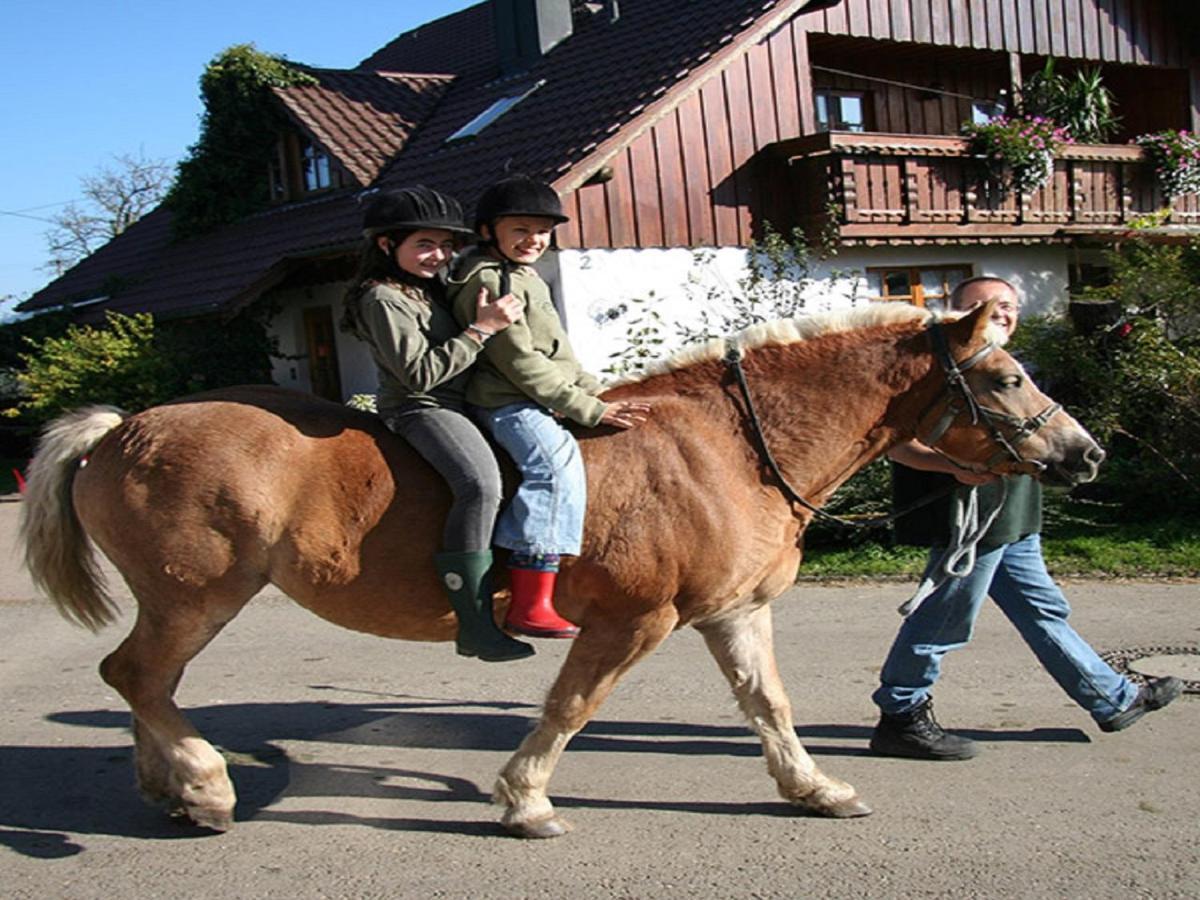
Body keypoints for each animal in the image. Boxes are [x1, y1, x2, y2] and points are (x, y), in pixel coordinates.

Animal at [21, 303, 1104, 840]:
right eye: (1006, 376)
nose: (1085, 455)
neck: (724, 446)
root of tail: (123, 428)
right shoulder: (634, 620)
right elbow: (573, 706)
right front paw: (526, 798)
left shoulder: (731, 612)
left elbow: (769, 704)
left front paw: (813, 788)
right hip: (197, 594)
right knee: (138, 677)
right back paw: (203, 788)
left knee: (143, 683)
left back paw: (171, 786)